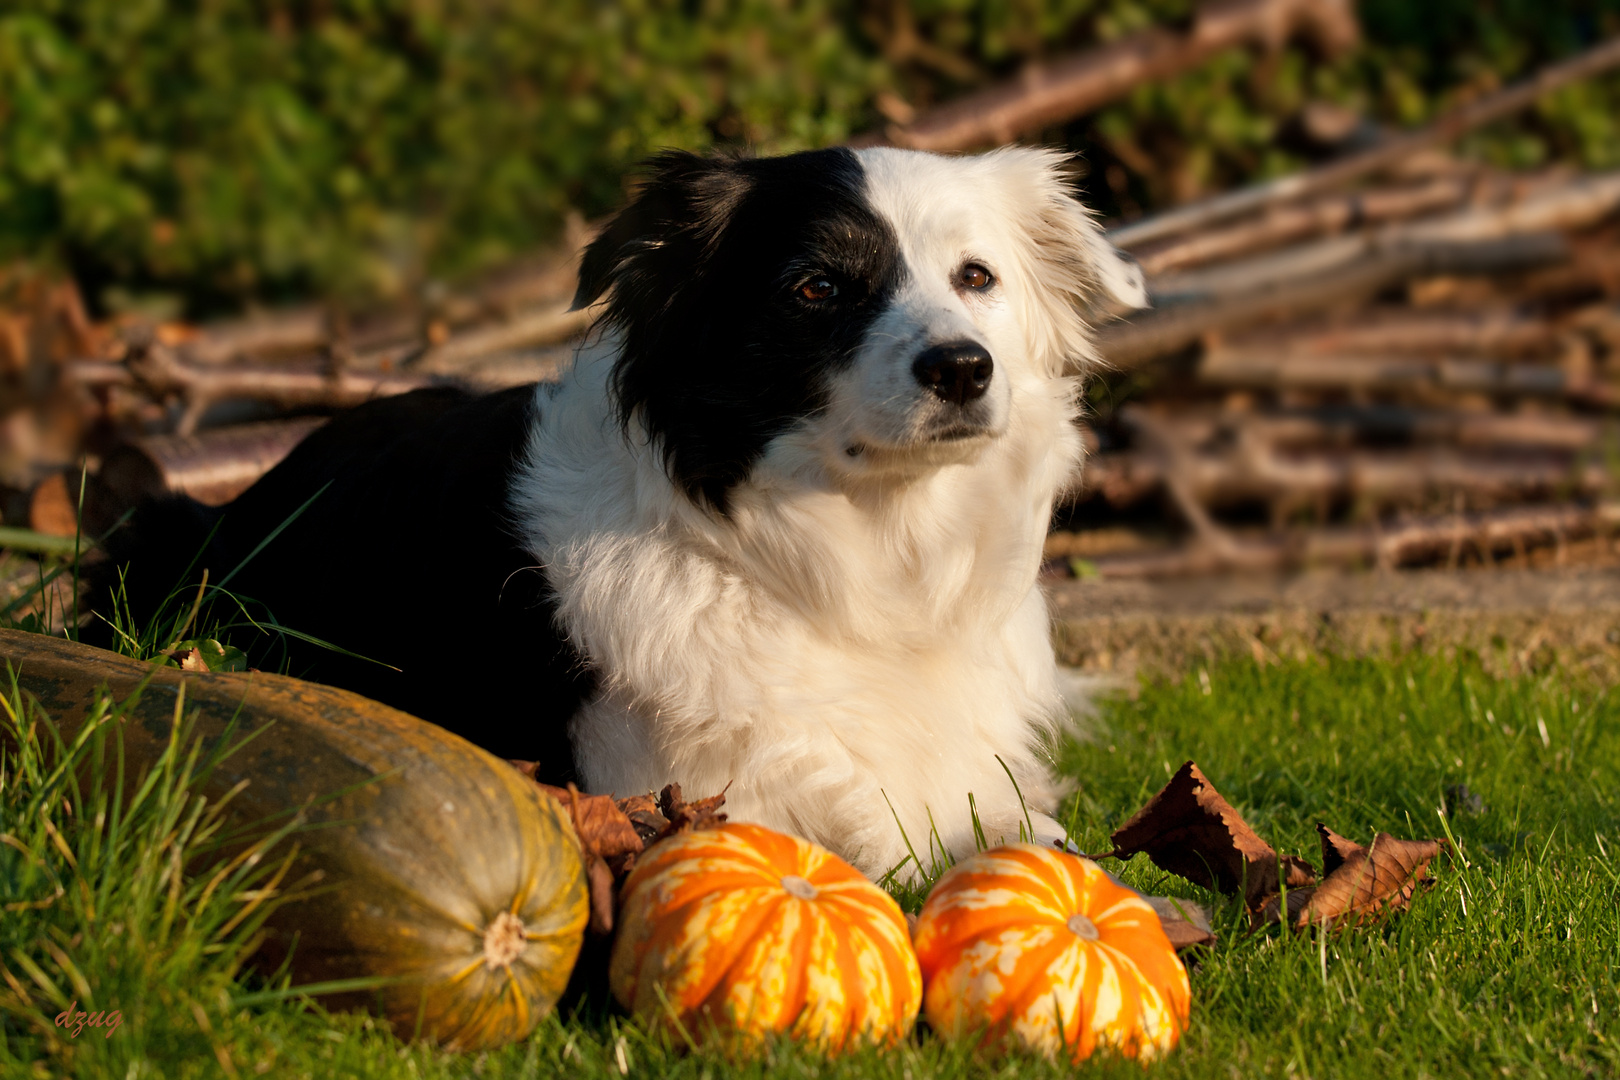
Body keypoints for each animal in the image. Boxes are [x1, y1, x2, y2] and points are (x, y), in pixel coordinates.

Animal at [104, 145, 1140, 880]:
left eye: (977, 277)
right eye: (816, 287)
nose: (963, 369)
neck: (857, 576)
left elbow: (1031, 832)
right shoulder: (676, 797)